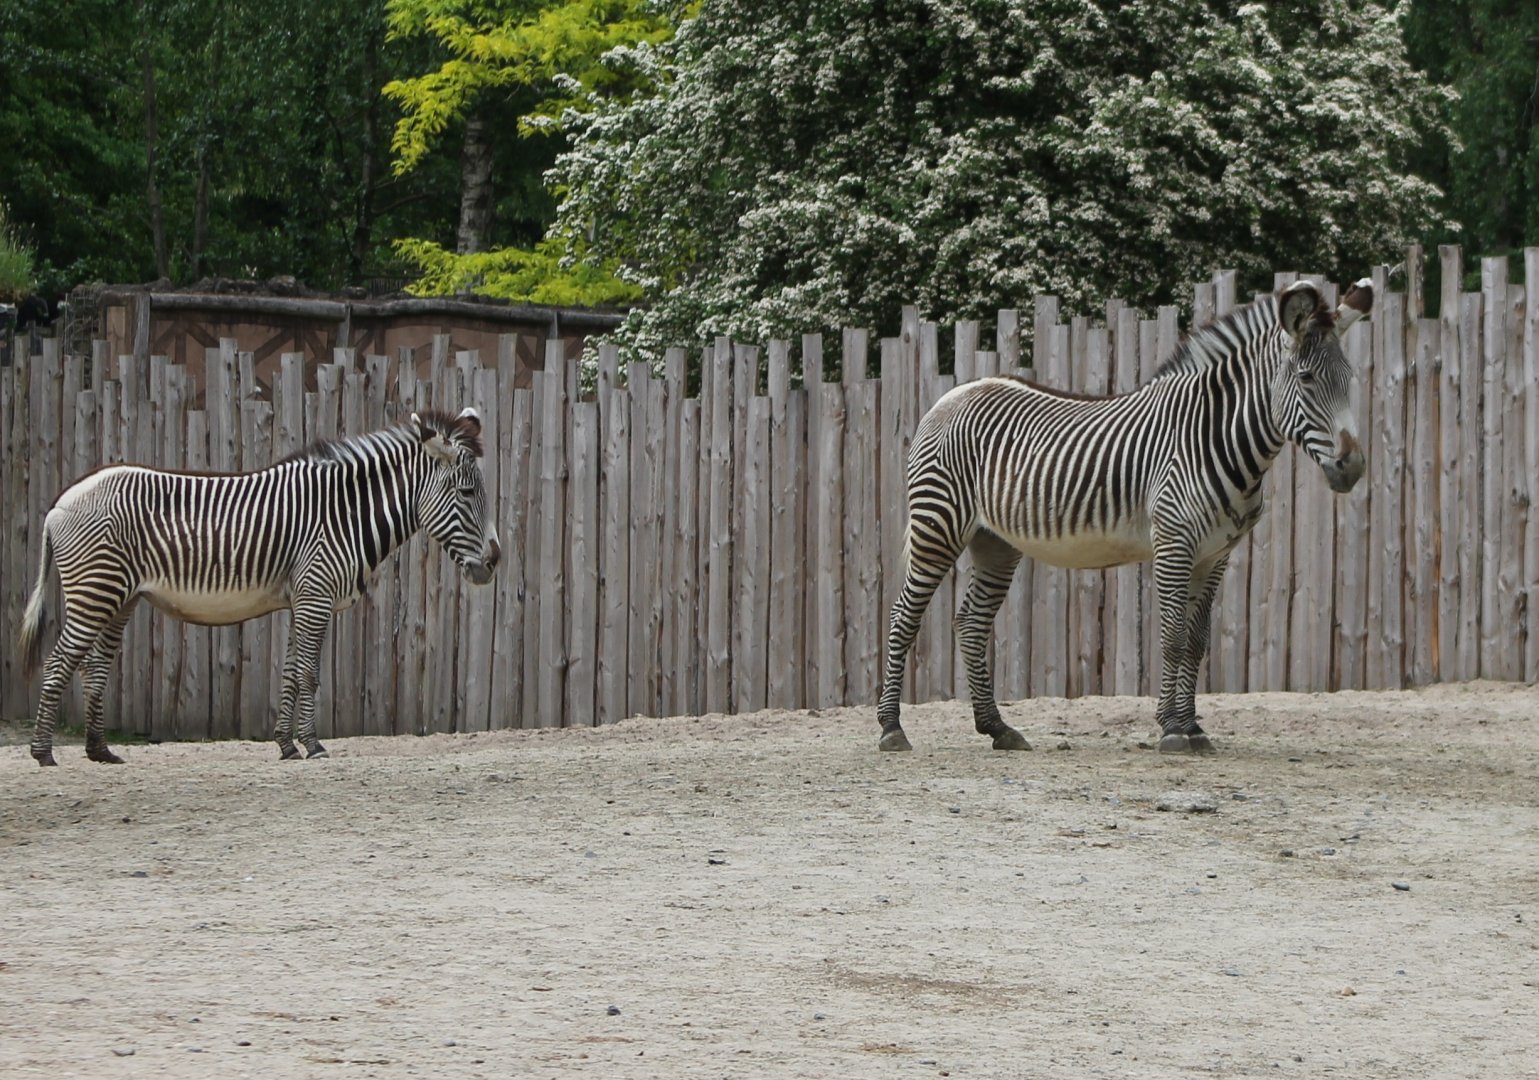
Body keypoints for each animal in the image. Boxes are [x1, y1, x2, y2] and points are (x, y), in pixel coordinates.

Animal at [17, 407, 500, 766]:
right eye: (465, 492)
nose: (494, 561)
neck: (344, 514)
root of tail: (60, 502)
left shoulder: (299, 600)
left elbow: (289, 673)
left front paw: (286, 745)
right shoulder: (315, 596)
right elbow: (310, 674)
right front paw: (314, 745)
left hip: (119, 598)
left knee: (94, 666)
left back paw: (100, 751)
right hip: (94, 592)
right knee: (59, 662)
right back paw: (43, 753)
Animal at [878, 278, 1373, 754]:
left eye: (1350, 378)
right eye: (1306, 378)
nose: (1352, 466)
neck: (1213, 437)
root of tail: (954, 393)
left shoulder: (1215, 555)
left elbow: (1197, 641)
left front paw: (1192, 726)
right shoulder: (1174, 543)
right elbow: (1173, 636)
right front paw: (1172, 729)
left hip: (994, 542)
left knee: (972, 623)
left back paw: (997, 728)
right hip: (938, 523)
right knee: (903, 616)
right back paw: (891, 729)